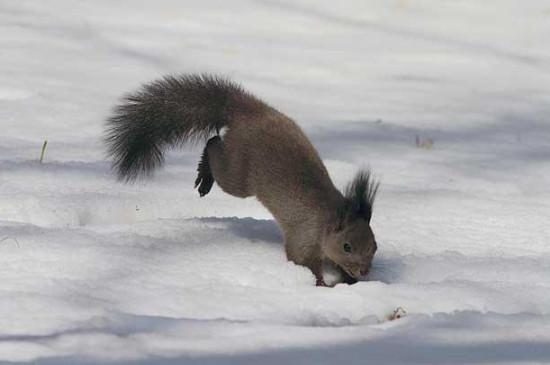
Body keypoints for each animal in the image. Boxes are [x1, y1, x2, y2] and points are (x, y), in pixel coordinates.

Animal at [104, 73, 380, 284]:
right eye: (346, 246)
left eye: (375, 246)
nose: (364, 271)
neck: (328, 217)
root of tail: (251, 112)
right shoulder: (304, 234)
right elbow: (301, 261)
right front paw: (321, 284)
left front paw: (350, 281)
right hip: (238, 174)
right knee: (214, 144)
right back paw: (205, 172)